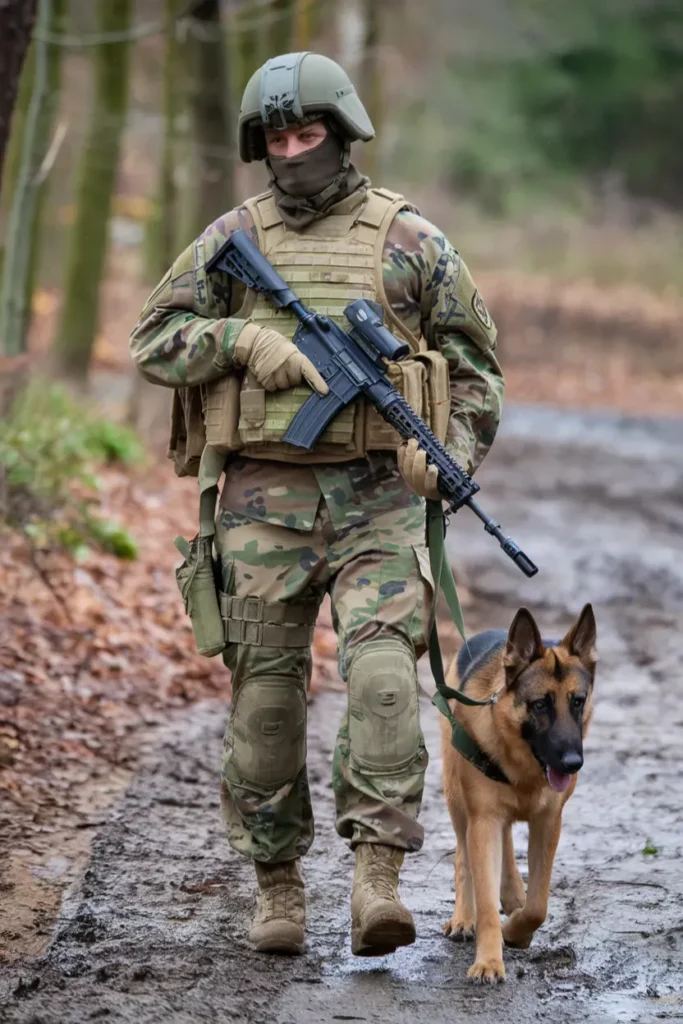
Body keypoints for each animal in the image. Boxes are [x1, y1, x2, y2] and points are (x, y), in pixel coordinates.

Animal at [440, 602, 593, 978]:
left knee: (506, 841)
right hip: (457, 800)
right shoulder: (483, 821)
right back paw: (464, 917)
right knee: (463, 856)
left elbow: (538, 906)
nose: (573, 763)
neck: (525, 768)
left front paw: (517, 931)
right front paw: (489, 961)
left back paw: (511, 894)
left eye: (578, 702)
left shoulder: (548, 822)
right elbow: (485, 899)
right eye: (540, 704)